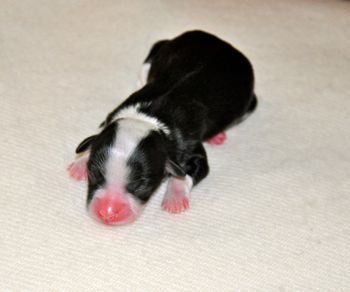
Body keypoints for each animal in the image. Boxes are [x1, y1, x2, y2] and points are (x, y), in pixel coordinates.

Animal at [67, 30, 258, 226]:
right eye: (94, 173)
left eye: (142, 184)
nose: (107, 213)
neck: (149, 118)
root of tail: (222, 43)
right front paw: (80, 162)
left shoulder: (192, 149)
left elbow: (187, 173)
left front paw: (175, 199)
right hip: (151, 58)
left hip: (247, 105)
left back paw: (216, 136)